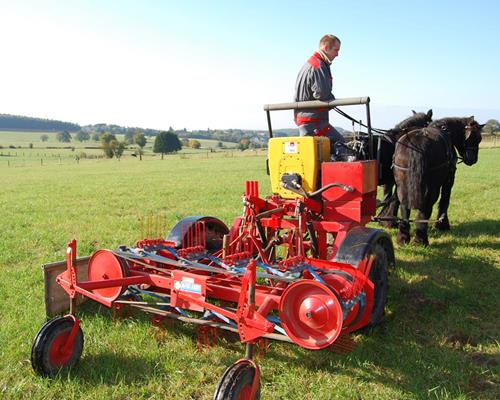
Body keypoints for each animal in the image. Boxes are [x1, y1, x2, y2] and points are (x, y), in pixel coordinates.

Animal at [392, 115, 482, 245]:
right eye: (474, 138)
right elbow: (445, 200)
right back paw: (421, 240)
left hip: (402, 186)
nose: (472, 159)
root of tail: (418, 143)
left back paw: (403, 237)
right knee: (425, 209)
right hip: (432, 188)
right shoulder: (449, 180)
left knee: (404, 207)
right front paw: (443, 224)